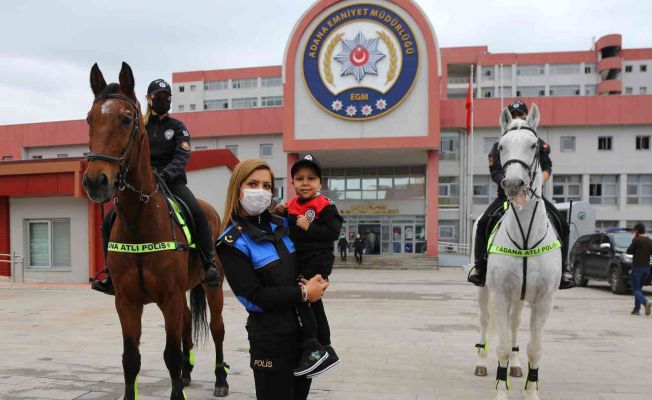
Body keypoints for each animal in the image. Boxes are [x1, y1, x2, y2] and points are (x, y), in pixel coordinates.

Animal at [82, 61, 229, 396]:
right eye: (89, 119)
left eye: (126, 119)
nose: (95, 181)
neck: (140, 221)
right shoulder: (126, 302)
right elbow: (130, 359)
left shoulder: (169, 298)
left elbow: (170, 355)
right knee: (187, 325)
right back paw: (187, 374)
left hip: (212, 287)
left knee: (217, 330)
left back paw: (220, 379)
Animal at [478, 104, 560, 400]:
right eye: (501, 146)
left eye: (534, 145)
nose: (514, 185)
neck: (525, 238)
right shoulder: (500, 294)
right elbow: (501, 346)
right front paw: (501, 392)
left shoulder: (545, 300)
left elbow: (534, 349)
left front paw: (531, 391)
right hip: (485, 291)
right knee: (484, 322)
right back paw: (482, 363)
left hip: (521, 298)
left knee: (514, 325)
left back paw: (514, 364)